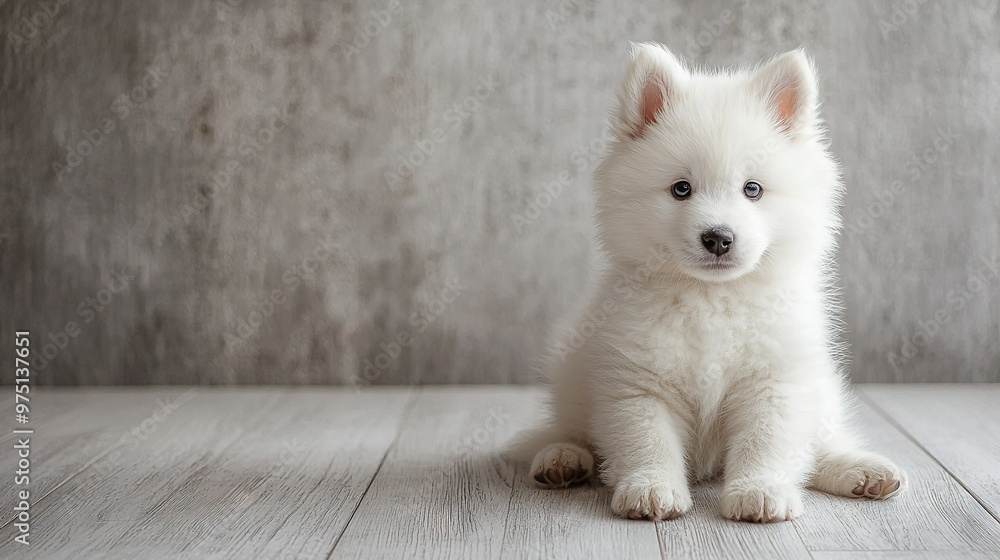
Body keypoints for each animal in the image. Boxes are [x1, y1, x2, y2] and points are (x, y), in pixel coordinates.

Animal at [524, 42, 908, 520]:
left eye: (753, 189)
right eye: (681, 189)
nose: (718, 238)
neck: (712, 297)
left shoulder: (775, 381)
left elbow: (766, 441)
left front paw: (759, 491)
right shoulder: (637, 383)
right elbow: (647, 440)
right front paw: (651, 488)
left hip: (822, 392)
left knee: (818, 447)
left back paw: (861, 470)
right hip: (571, 377)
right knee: (569, 430)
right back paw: (561, 458)